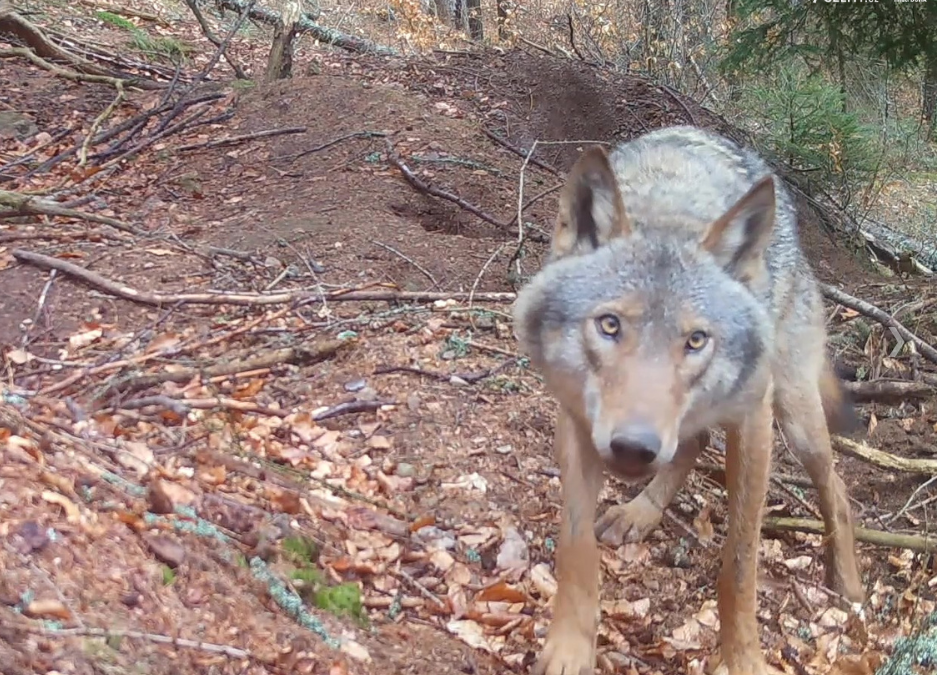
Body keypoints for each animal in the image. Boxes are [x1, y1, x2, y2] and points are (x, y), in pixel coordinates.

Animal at [512, 125, 864, 675]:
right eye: (609, 325)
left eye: (696, 340)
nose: (634, 447)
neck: (668, 217)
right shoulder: (577, 419)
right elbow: (576, 546)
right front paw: (569, 648)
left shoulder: (753, 422)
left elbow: (740, 564)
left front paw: (743, 660)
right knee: (694, 445)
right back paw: (640, 512)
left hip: (795, 416)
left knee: (838, 488)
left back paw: (848, 582)